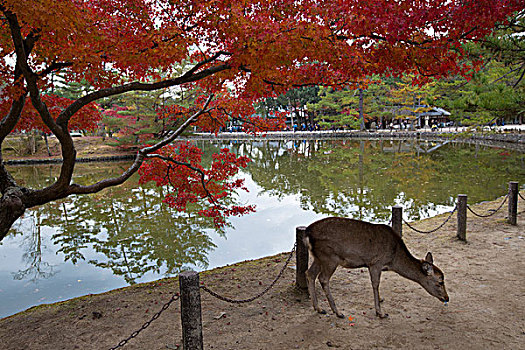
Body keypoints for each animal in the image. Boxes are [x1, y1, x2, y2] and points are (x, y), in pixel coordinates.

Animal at [304, 216, 448, 318]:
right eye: (440, 282)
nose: (447, 298)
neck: (393, 259)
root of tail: (307, 233)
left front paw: (380, 300)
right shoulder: (375, 263)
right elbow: (375, 284)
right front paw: (381, 312)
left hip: (318, 257)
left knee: (310, 273)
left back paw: (319, 308)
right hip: (330, 257)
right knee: (323, 278)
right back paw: (337, 312)